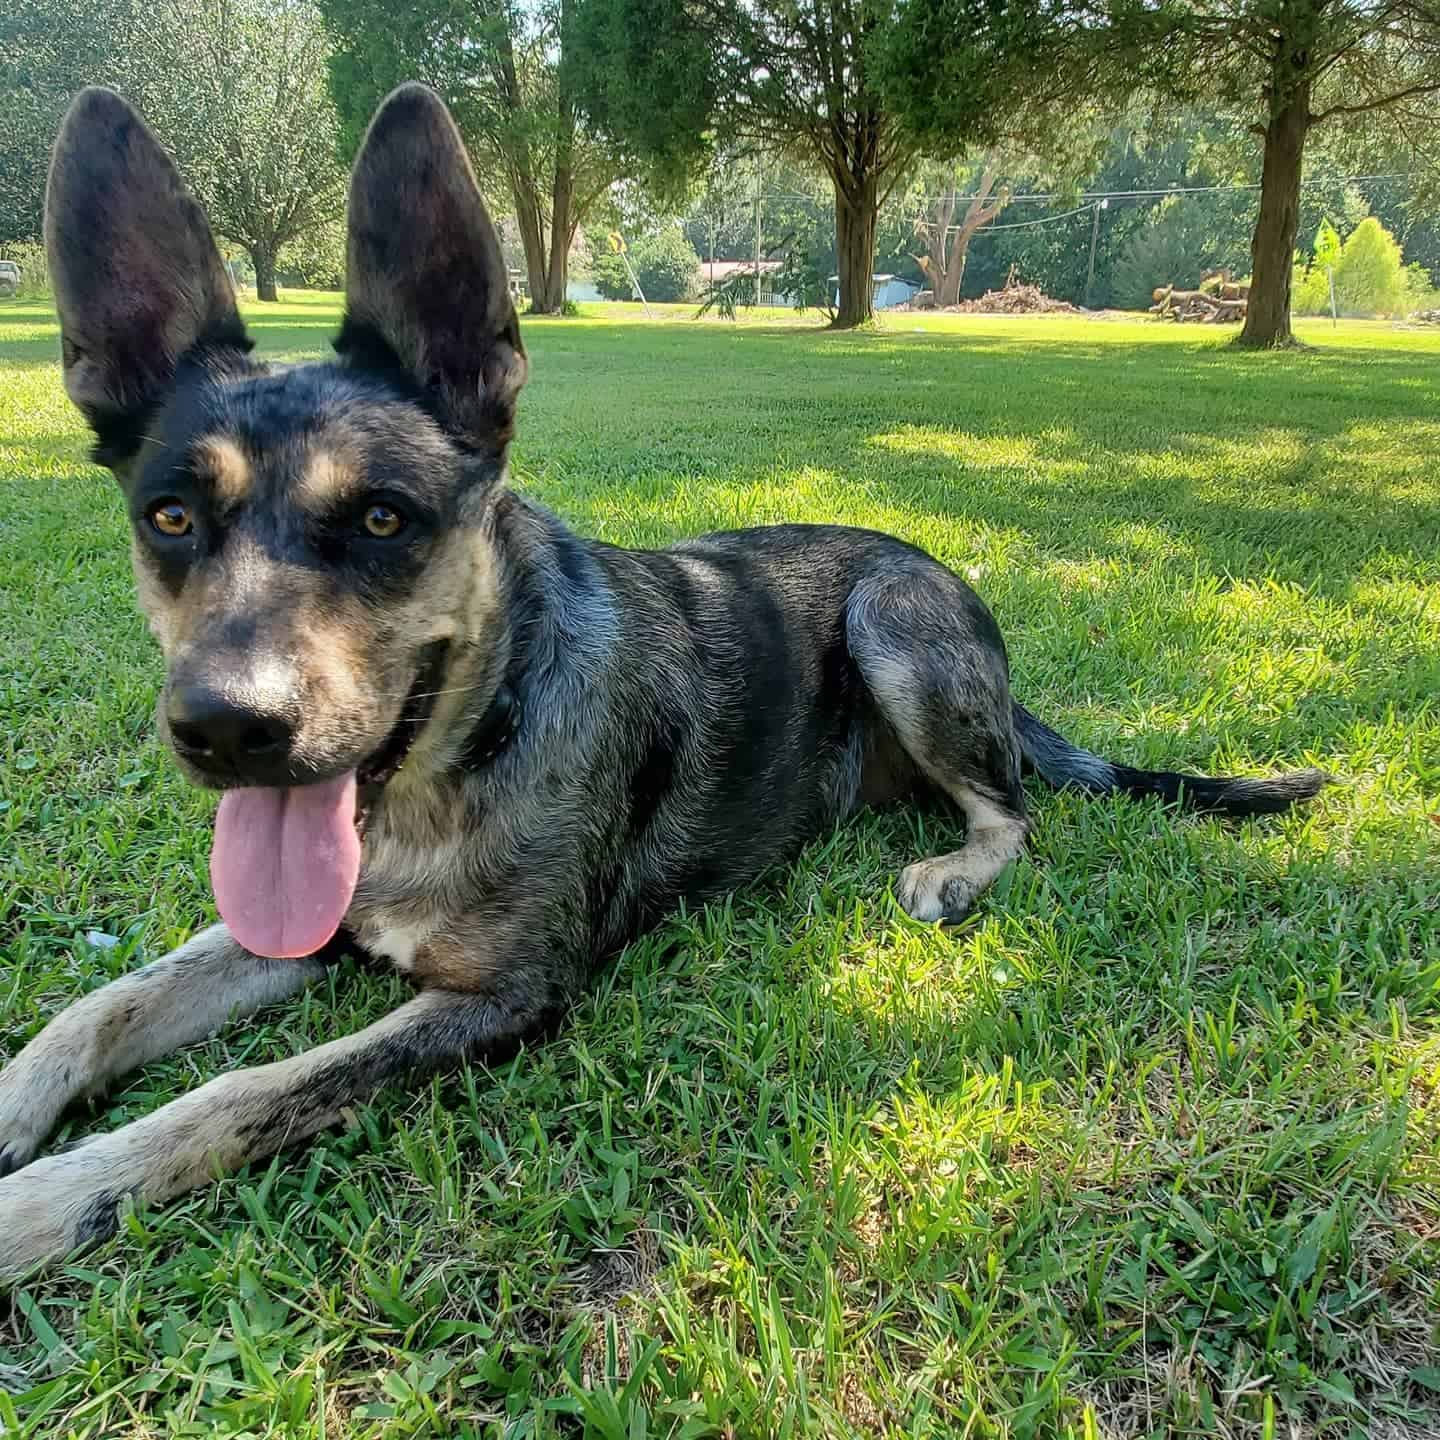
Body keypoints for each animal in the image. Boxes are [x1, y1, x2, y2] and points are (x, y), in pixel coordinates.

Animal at [0, 84, 1324, 1278]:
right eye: (170, 517)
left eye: (384, 519)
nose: (226, 730)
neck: (467, 752)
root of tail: (930, 565)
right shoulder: (308, 930)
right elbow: (102, 1006)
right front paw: (20, 1111)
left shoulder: (504, 995)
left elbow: (240, 1091)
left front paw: (47, 1201)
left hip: (893, 621)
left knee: (1017, 811)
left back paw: (955, 867)